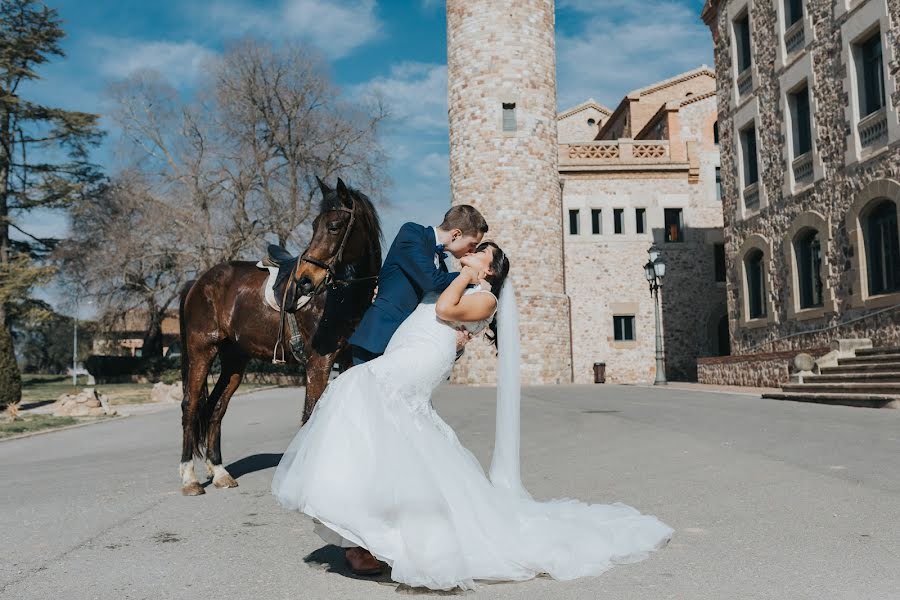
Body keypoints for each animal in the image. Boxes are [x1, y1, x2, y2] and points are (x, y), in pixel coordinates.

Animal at [178, 178, 382, 496]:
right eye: (314, 224)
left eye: (334, 226)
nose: (305, 281)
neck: (340, 296)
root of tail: (198, 282)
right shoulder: (319, 363)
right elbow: (311, 415)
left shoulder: (347, 360)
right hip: (202, 350)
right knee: (191, 406)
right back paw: (189, 479)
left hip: (234, 360)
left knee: (216, 407)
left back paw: (220, 472)